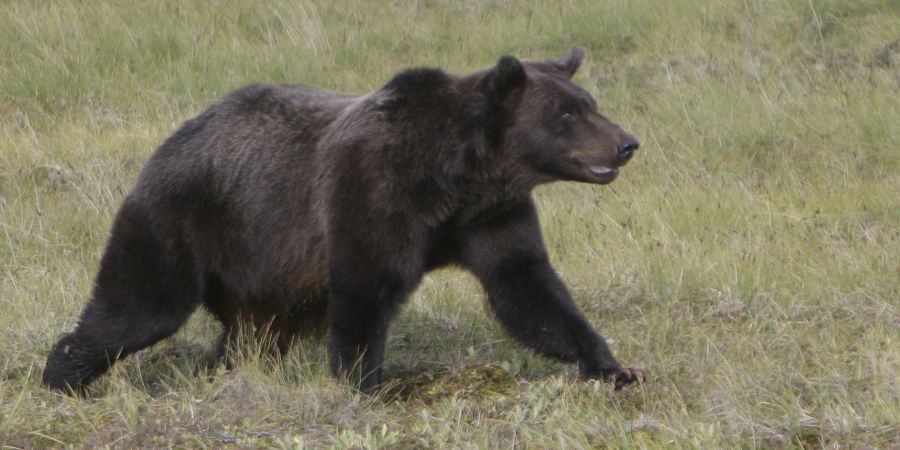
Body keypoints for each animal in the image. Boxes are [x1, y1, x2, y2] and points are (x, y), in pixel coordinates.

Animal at [43, 46, 646, 393]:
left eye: (589, 102)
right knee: (138, 305)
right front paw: (364, 385)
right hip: (184, 220)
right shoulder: (373, 192)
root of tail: (173, 138)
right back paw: (65, 375)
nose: (626, 144)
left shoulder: (491, 217)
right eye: (567, 114)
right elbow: (365, 287)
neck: (457, 177)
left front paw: (614, 366)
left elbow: (528, 290)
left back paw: (226, 370)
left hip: (261, 270)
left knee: (250, 334)